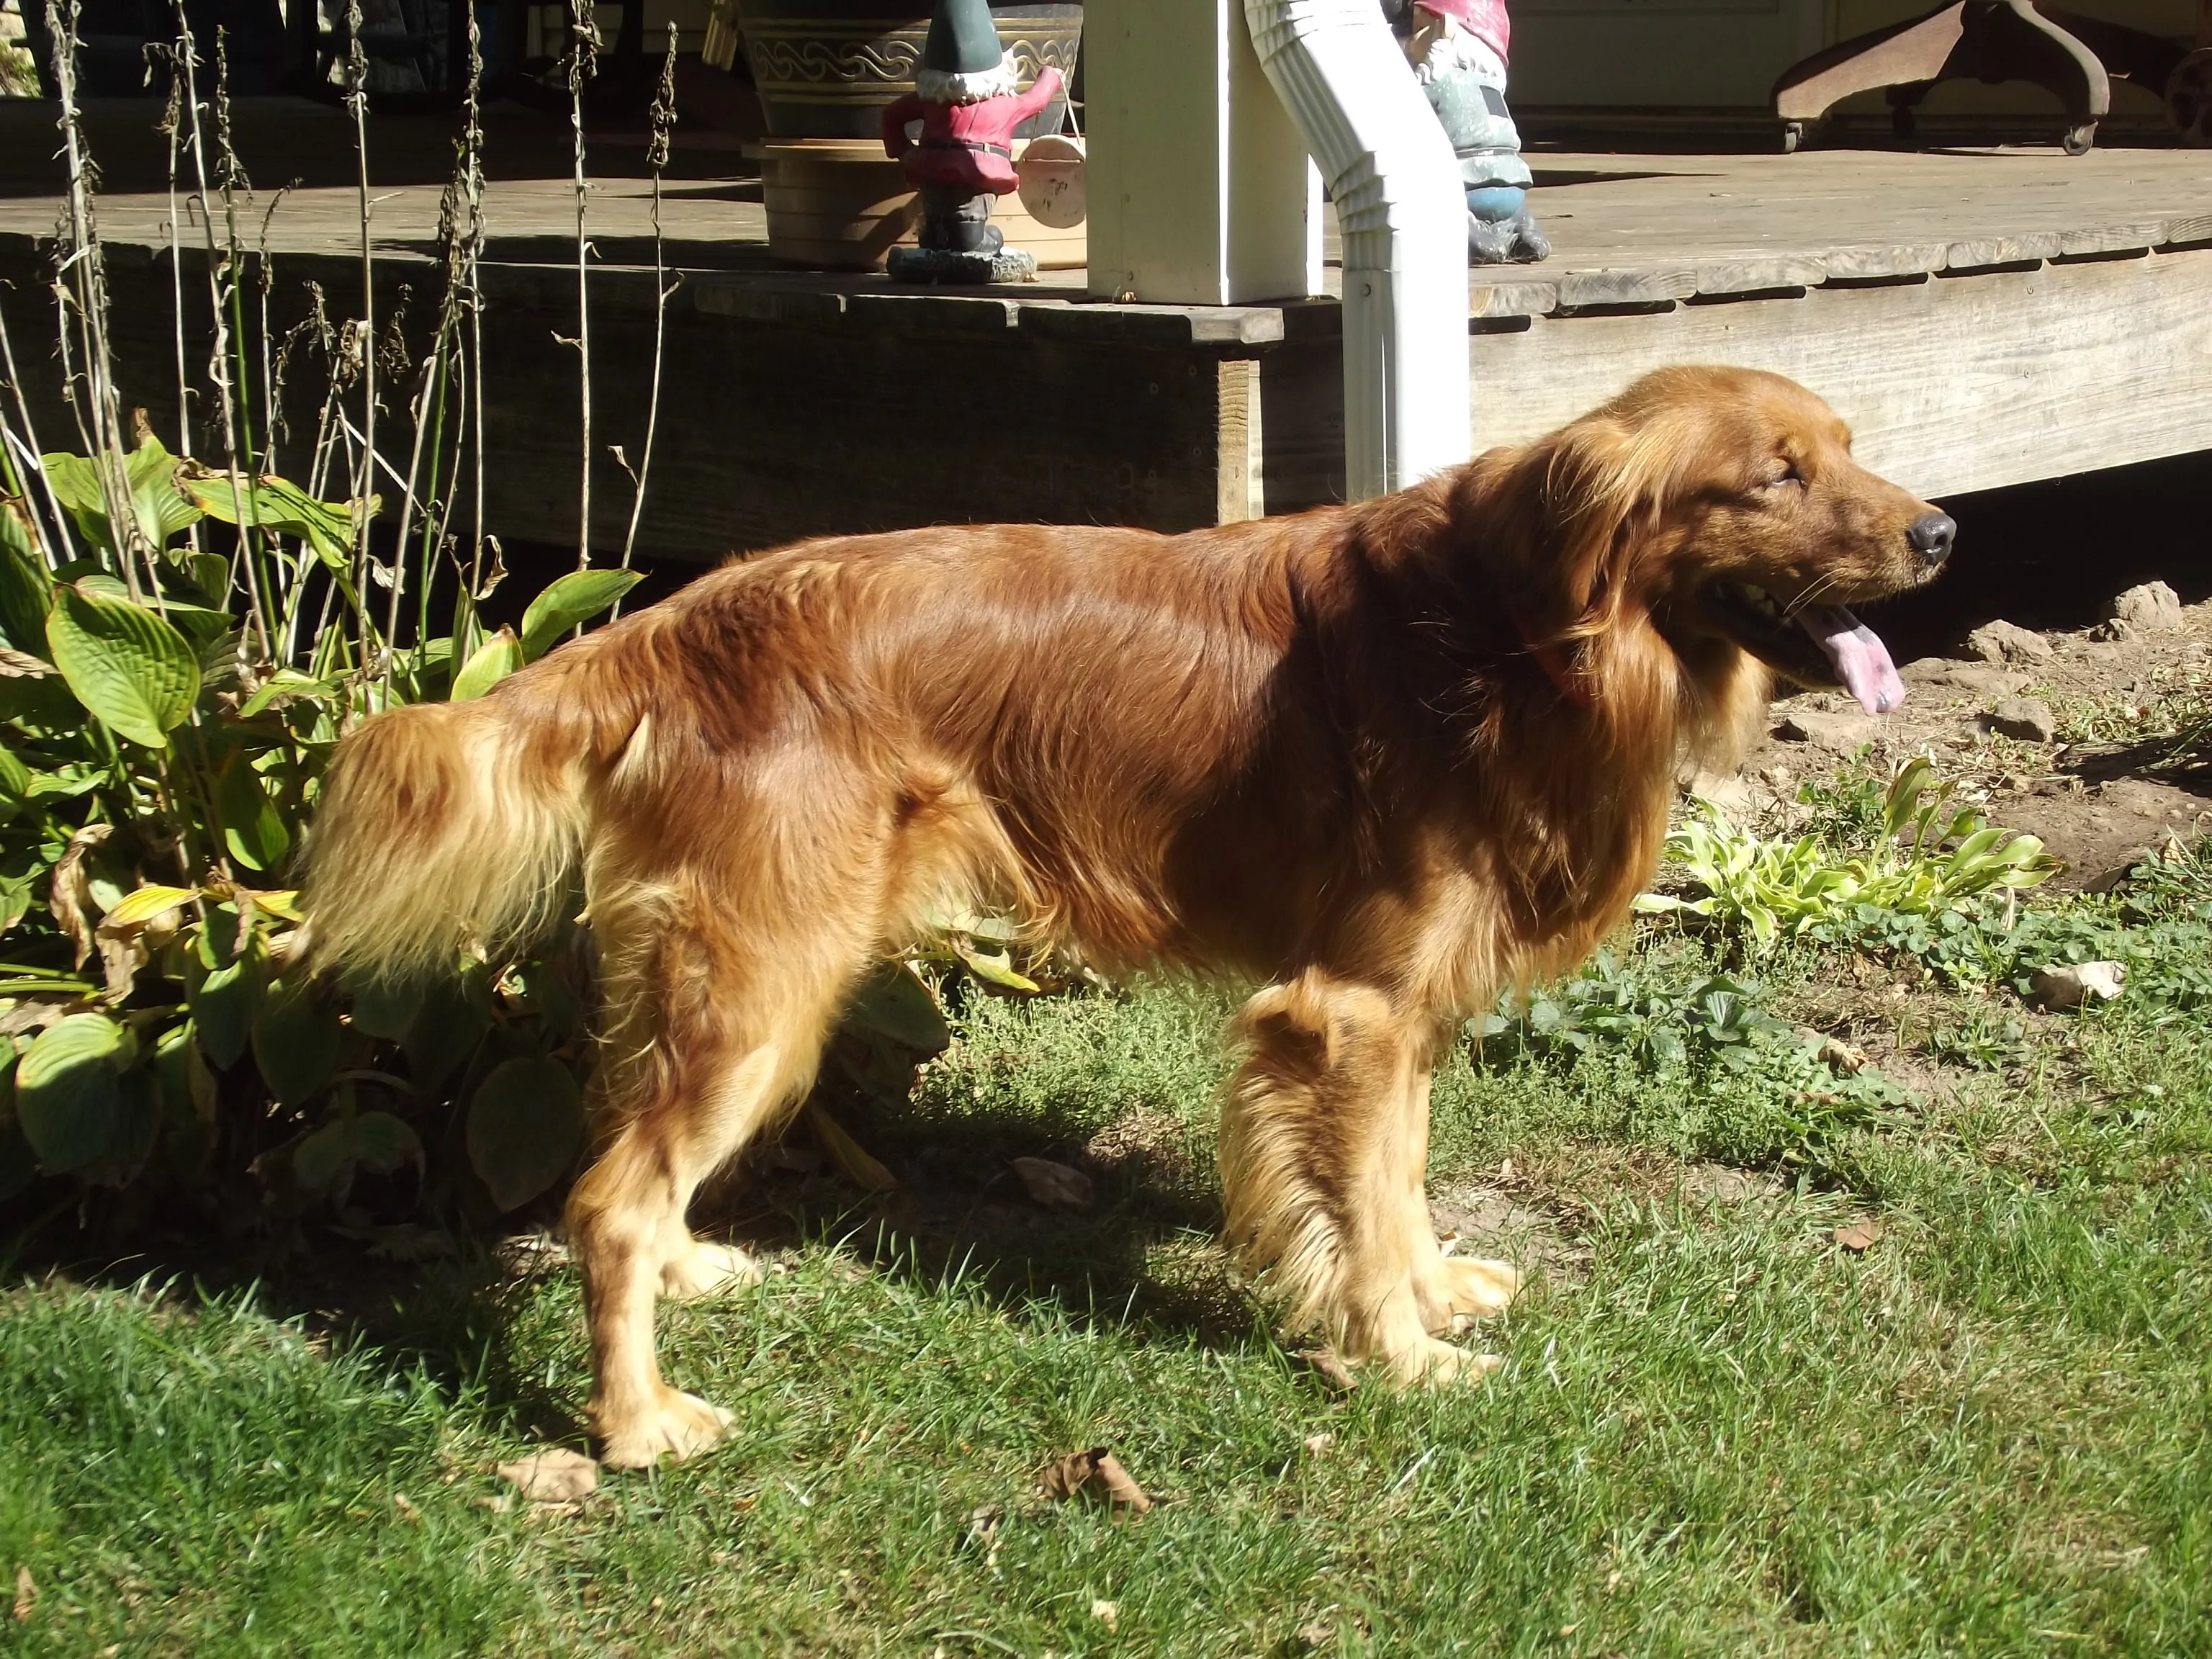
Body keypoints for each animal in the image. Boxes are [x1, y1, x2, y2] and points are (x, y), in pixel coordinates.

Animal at [298, 362, 1955, 1468]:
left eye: (1847, 452)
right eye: (1777, 476)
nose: (1942, 533)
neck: (1509, 630)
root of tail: (681, 618)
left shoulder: (1397, 1012)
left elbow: (1401, 1176)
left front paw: (1428, 1297)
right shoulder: (1343, 1010)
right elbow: (1361, 1199)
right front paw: (1401, 1357)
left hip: (748, 976)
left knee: (627, 1150)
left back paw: (695, 1272)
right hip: (767, 976)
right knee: (608, 1196)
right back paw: (637, 1425)